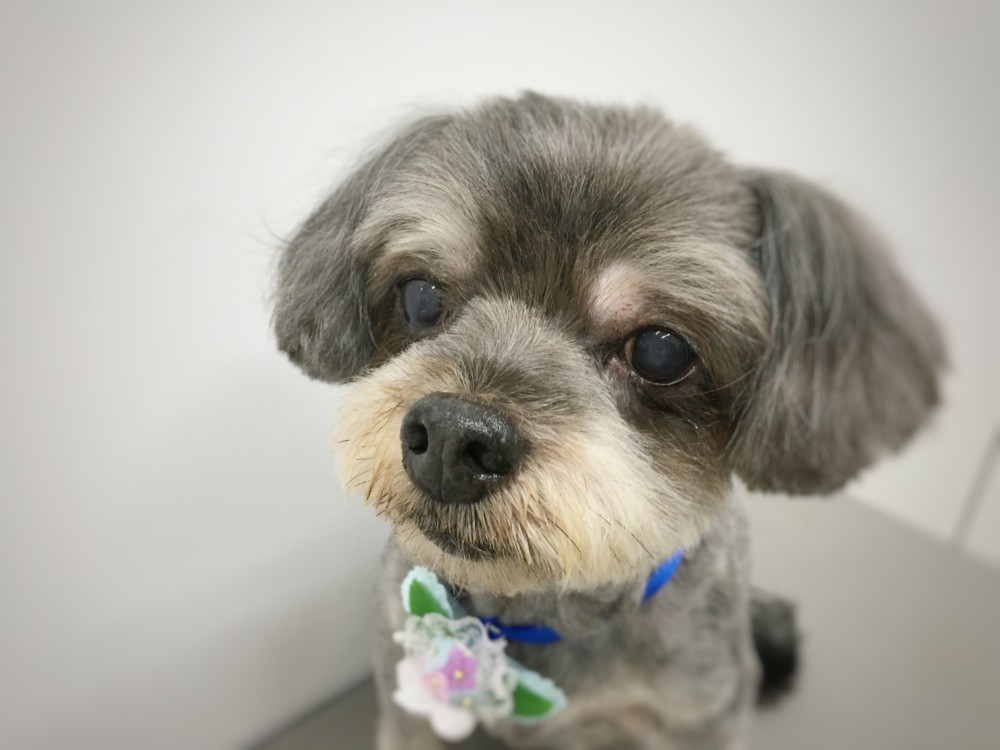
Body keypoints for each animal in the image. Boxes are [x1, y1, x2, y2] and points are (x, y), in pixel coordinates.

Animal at [273, 93, 943, 749]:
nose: (450, 436)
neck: (545, 607)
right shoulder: (403, 693)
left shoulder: (701, 713)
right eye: (421, 296)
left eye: (660, 352)